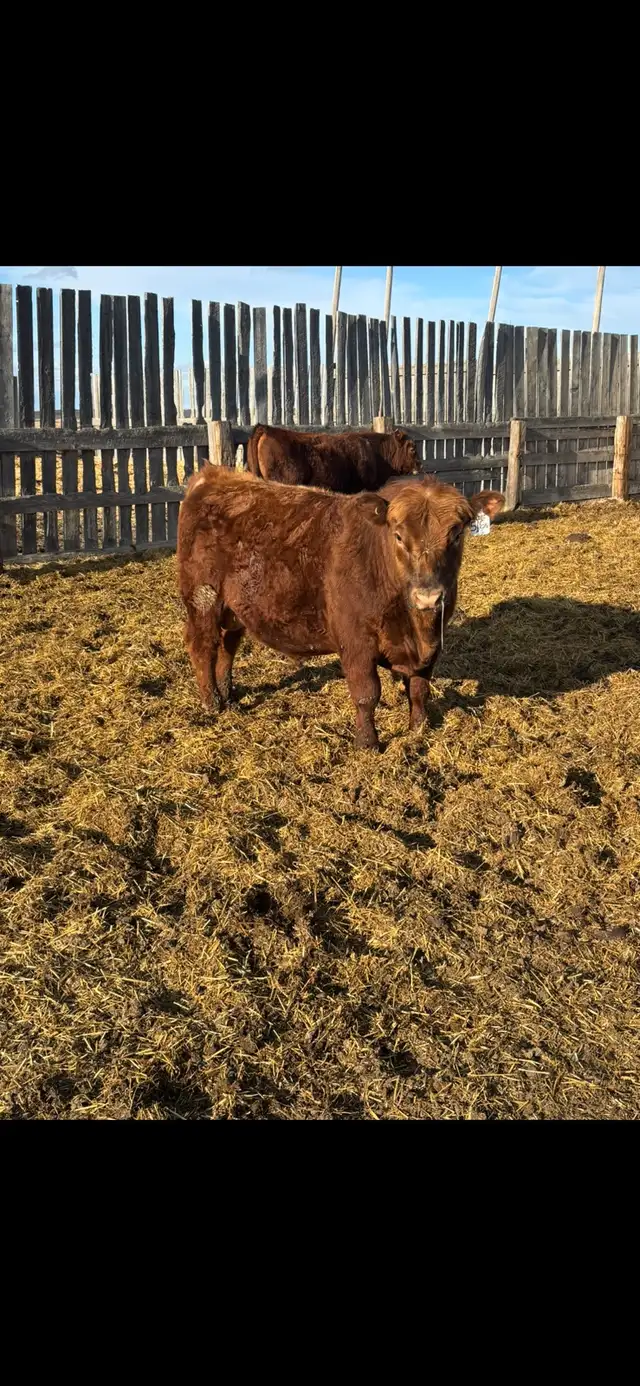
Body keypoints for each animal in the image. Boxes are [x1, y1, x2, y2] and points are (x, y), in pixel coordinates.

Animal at [177, 466, 504, 751]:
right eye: (398, 536)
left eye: (457, 534)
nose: (428, 597)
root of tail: (214, 476)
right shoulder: (356, 643)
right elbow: (367, 694)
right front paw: (368, 743)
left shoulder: (431, 646)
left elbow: (420, 689)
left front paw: (418, 729)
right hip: (203, 599)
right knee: (202, 647)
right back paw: (212, 702)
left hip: (236, 608)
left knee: (228, 646)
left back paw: (229, 696)